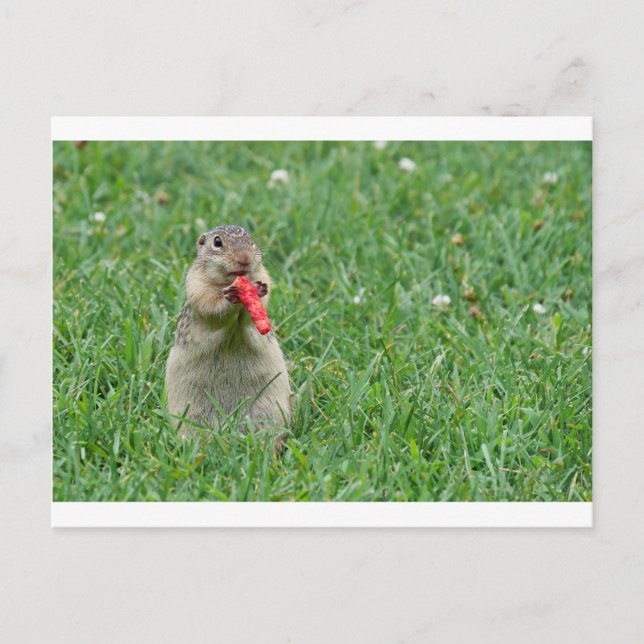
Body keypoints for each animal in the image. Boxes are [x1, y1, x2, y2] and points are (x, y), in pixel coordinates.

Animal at [165, 225, 292, 439]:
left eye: (251, 242)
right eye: (217, 242)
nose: (245, 258)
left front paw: (258, 290)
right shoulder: (198, 288)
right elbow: (213, 308)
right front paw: (229, 297)